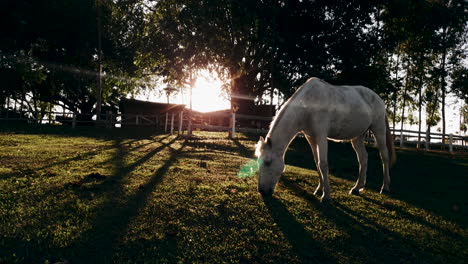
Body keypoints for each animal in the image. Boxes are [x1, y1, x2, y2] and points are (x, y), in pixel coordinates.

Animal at [256, 77, 394, 201]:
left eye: (267, 162)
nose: (262, 191)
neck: (308, 105)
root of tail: (378, 98)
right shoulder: (311, 138)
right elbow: (317, 163)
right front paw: (319, 190)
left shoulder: (321, 136)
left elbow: (323, 164)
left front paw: (326, 195)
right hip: (357, 137)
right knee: (363, 158)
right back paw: (356, 188)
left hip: (379, 130)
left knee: (384, 157)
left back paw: (385, 187)